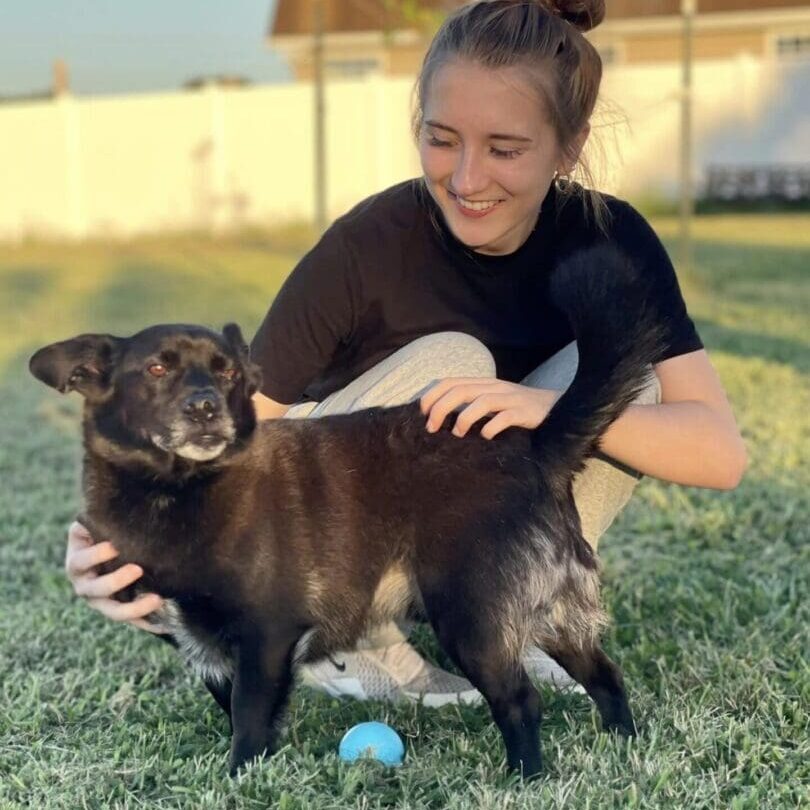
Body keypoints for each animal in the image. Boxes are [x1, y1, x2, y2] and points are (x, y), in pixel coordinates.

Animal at [31, 248, 664, 776]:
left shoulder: (264, 640)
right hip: (551, 615)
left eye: (227, 371)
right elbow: (234, 711)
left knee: (521, 701)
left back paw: (526, 777)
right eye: (157, 370)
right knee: (606, 674)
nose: (207, 407)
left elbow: (249, 722)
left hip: (473, 620)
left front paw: (239, 780)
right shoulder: (209, 652)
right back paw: (621, 743)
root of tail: (534, 446)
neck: (177, 492)